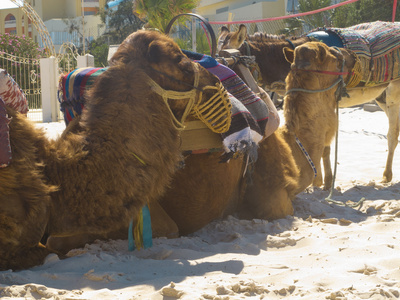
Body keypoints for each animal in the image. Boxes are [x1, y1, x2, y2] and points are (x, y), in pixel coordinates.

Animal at [219, 23, 400, 188]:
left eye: (233, 61)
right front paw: (320, 181)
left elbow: (325, 146)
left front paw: (323, 181)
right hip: (382, 97)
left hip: (394, 93)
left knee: (392, 135)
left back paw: (386, 175)